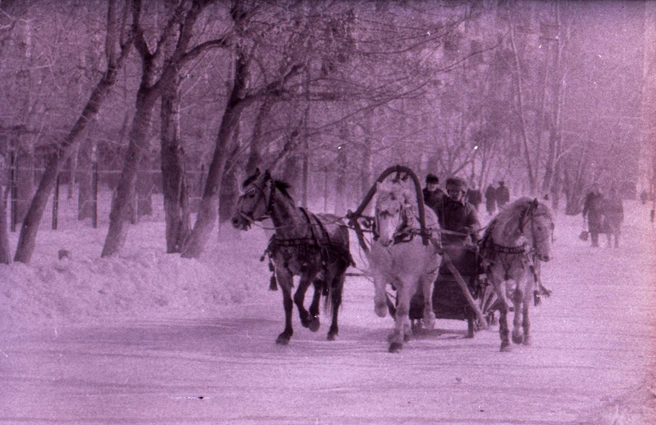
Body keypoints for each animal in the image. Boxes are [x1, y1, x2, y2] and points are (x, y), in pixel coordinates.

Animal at [231, 169, 354, 344]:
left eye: (252, 194)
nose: (235, 220)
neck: (294, 233)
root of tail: (340, 223)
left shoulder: (309, 270)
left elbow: (297, 297)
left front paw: (306, 320)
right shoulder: (283, 272)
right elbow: (288, 302)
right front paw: (287, 333)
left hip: (338, 272)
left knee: (336, 299)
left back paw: (332, 330)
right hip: (321, 271)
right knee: (318, 288)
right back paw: (314, 315)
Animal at [368, 179, 440, 352]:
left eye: (397, 210)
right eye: (378, 209)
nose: (385, 240)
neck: (396, 245)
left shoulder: (409, 277)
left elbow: (402, 309)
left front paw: (397, 342)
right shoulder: (380, 271)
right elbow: (382, 302)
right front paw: (381, 311)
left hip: (430, 270)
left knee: (427, 290)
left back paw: (429, 318)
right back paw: (405, 331)